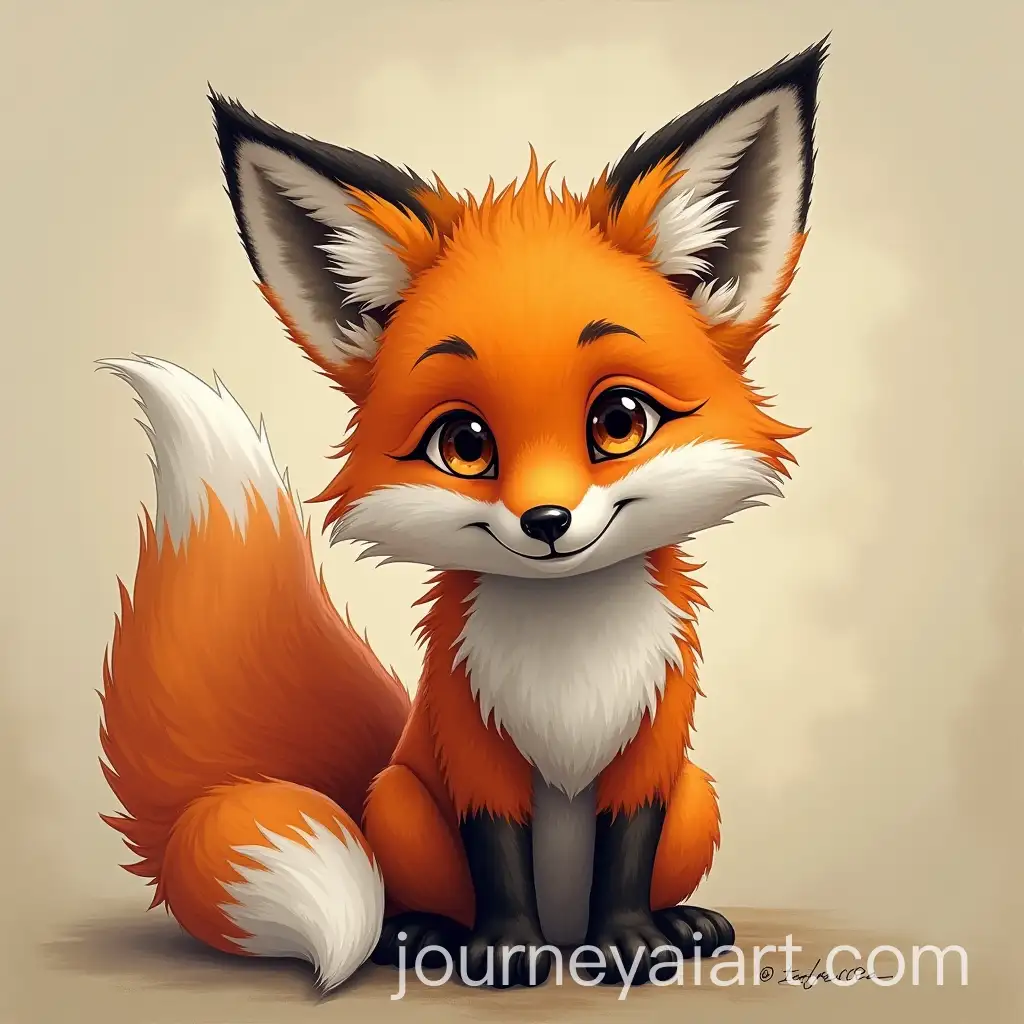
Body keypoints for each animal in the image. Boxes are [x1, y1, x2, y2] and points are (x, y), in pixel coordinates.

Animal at [98, 39, 827, 993]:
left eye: (619, 421)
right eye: (465, 443)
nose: (547, 520)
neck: (569, 654)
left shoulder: (652, 746)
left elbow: (626, 852)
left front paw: (632, 941)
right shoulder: (472, 743)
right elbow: (498, 854)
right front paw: (507, 951)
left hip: (698, 796)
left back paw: (680, 921)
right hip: (402, 800)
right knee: (416, 895)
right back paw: (426, 934)